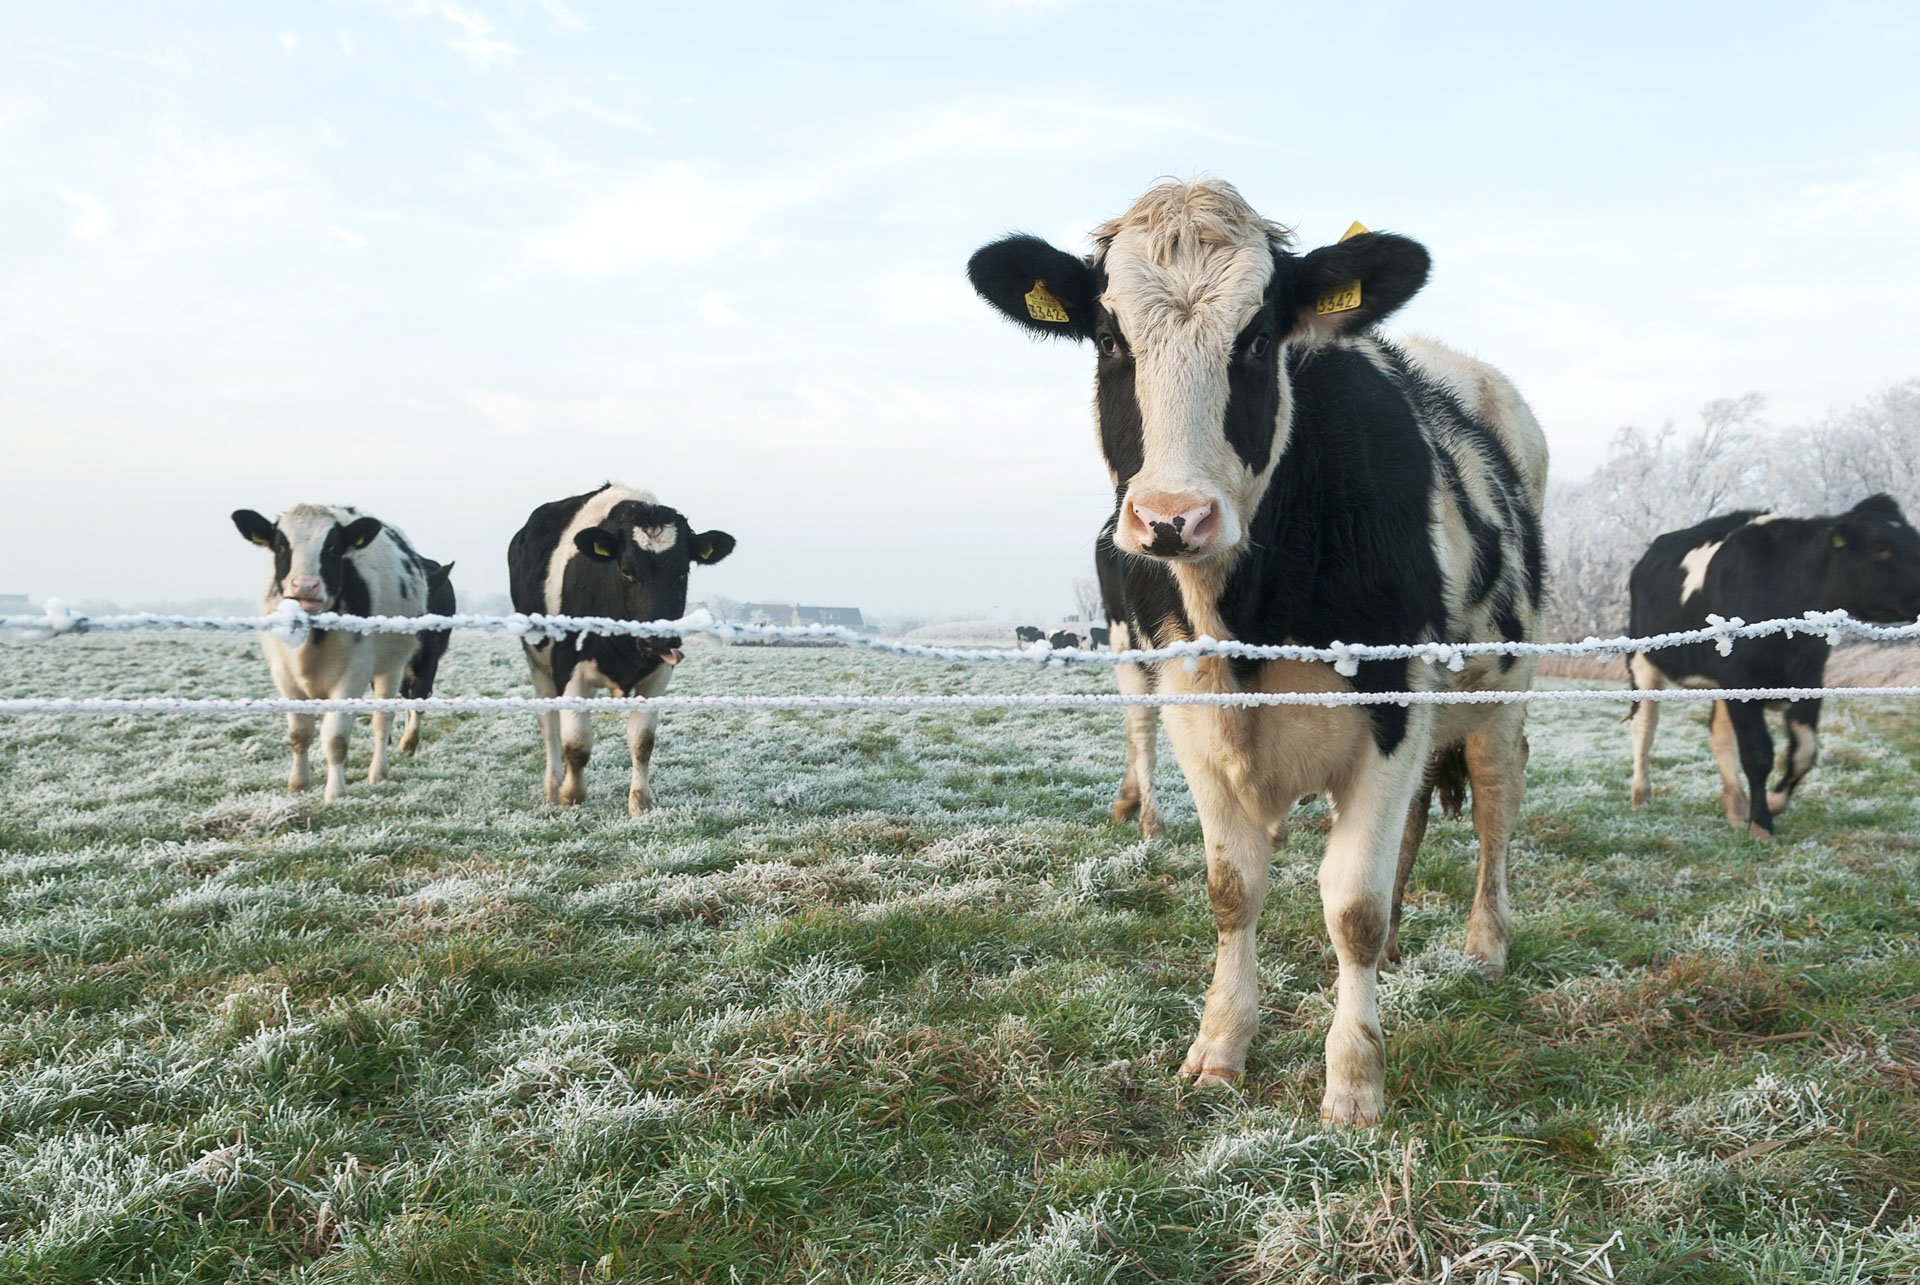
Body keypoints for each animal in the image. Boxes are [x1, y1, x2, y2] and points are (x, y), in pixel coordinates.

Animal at [231, 504, 431, 801]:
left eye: (333, 548)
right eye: (280, 546)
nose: (305, 586)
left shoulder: (353, 674)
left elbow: (336, 736)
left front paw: (335, 792)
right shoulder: (284, 675)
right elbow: (300, 733)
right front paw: (298, 784)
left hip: (392, 667)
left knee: (382, 720)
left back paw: (378, 772)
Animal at [507, 483, 735, 814]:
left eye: (683, 572)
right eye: (627, 570)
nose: (659, 640)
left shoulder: (658, 675)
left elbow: (642, 741)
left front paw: (640, 802)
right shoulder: (568, 671)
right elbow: (576, 744)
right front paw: (571, 795)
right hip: (538, 663)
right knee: (549, 724)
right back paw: (553, 787)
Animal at [969, 179, 1548, 1125]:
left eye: (1256, 337)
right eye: (1109, 338)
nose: (1172, 518)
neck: (1244, 615)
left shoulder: (1392, 702)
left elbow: (1350, 906)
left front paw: (1353, 1082)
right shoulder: (1191, 708)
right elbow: (1233, 886)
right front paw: (1220, 1044)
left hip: (1503, 687)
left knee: (1496, 807)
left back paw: (1485, 943)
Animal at [1627, 494, 1920, 838]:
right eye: (1880, 548)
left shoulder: (1808, 676)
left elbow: (1805, 749)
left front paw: (1774, 803)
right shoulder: (1741, 678)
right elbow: (1757, 753)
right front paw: (1762, 824)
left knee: (1719, 734)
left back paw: (1736, 808)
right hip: (1641, 660)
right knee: (1644, 726)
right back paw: (1641, 795)